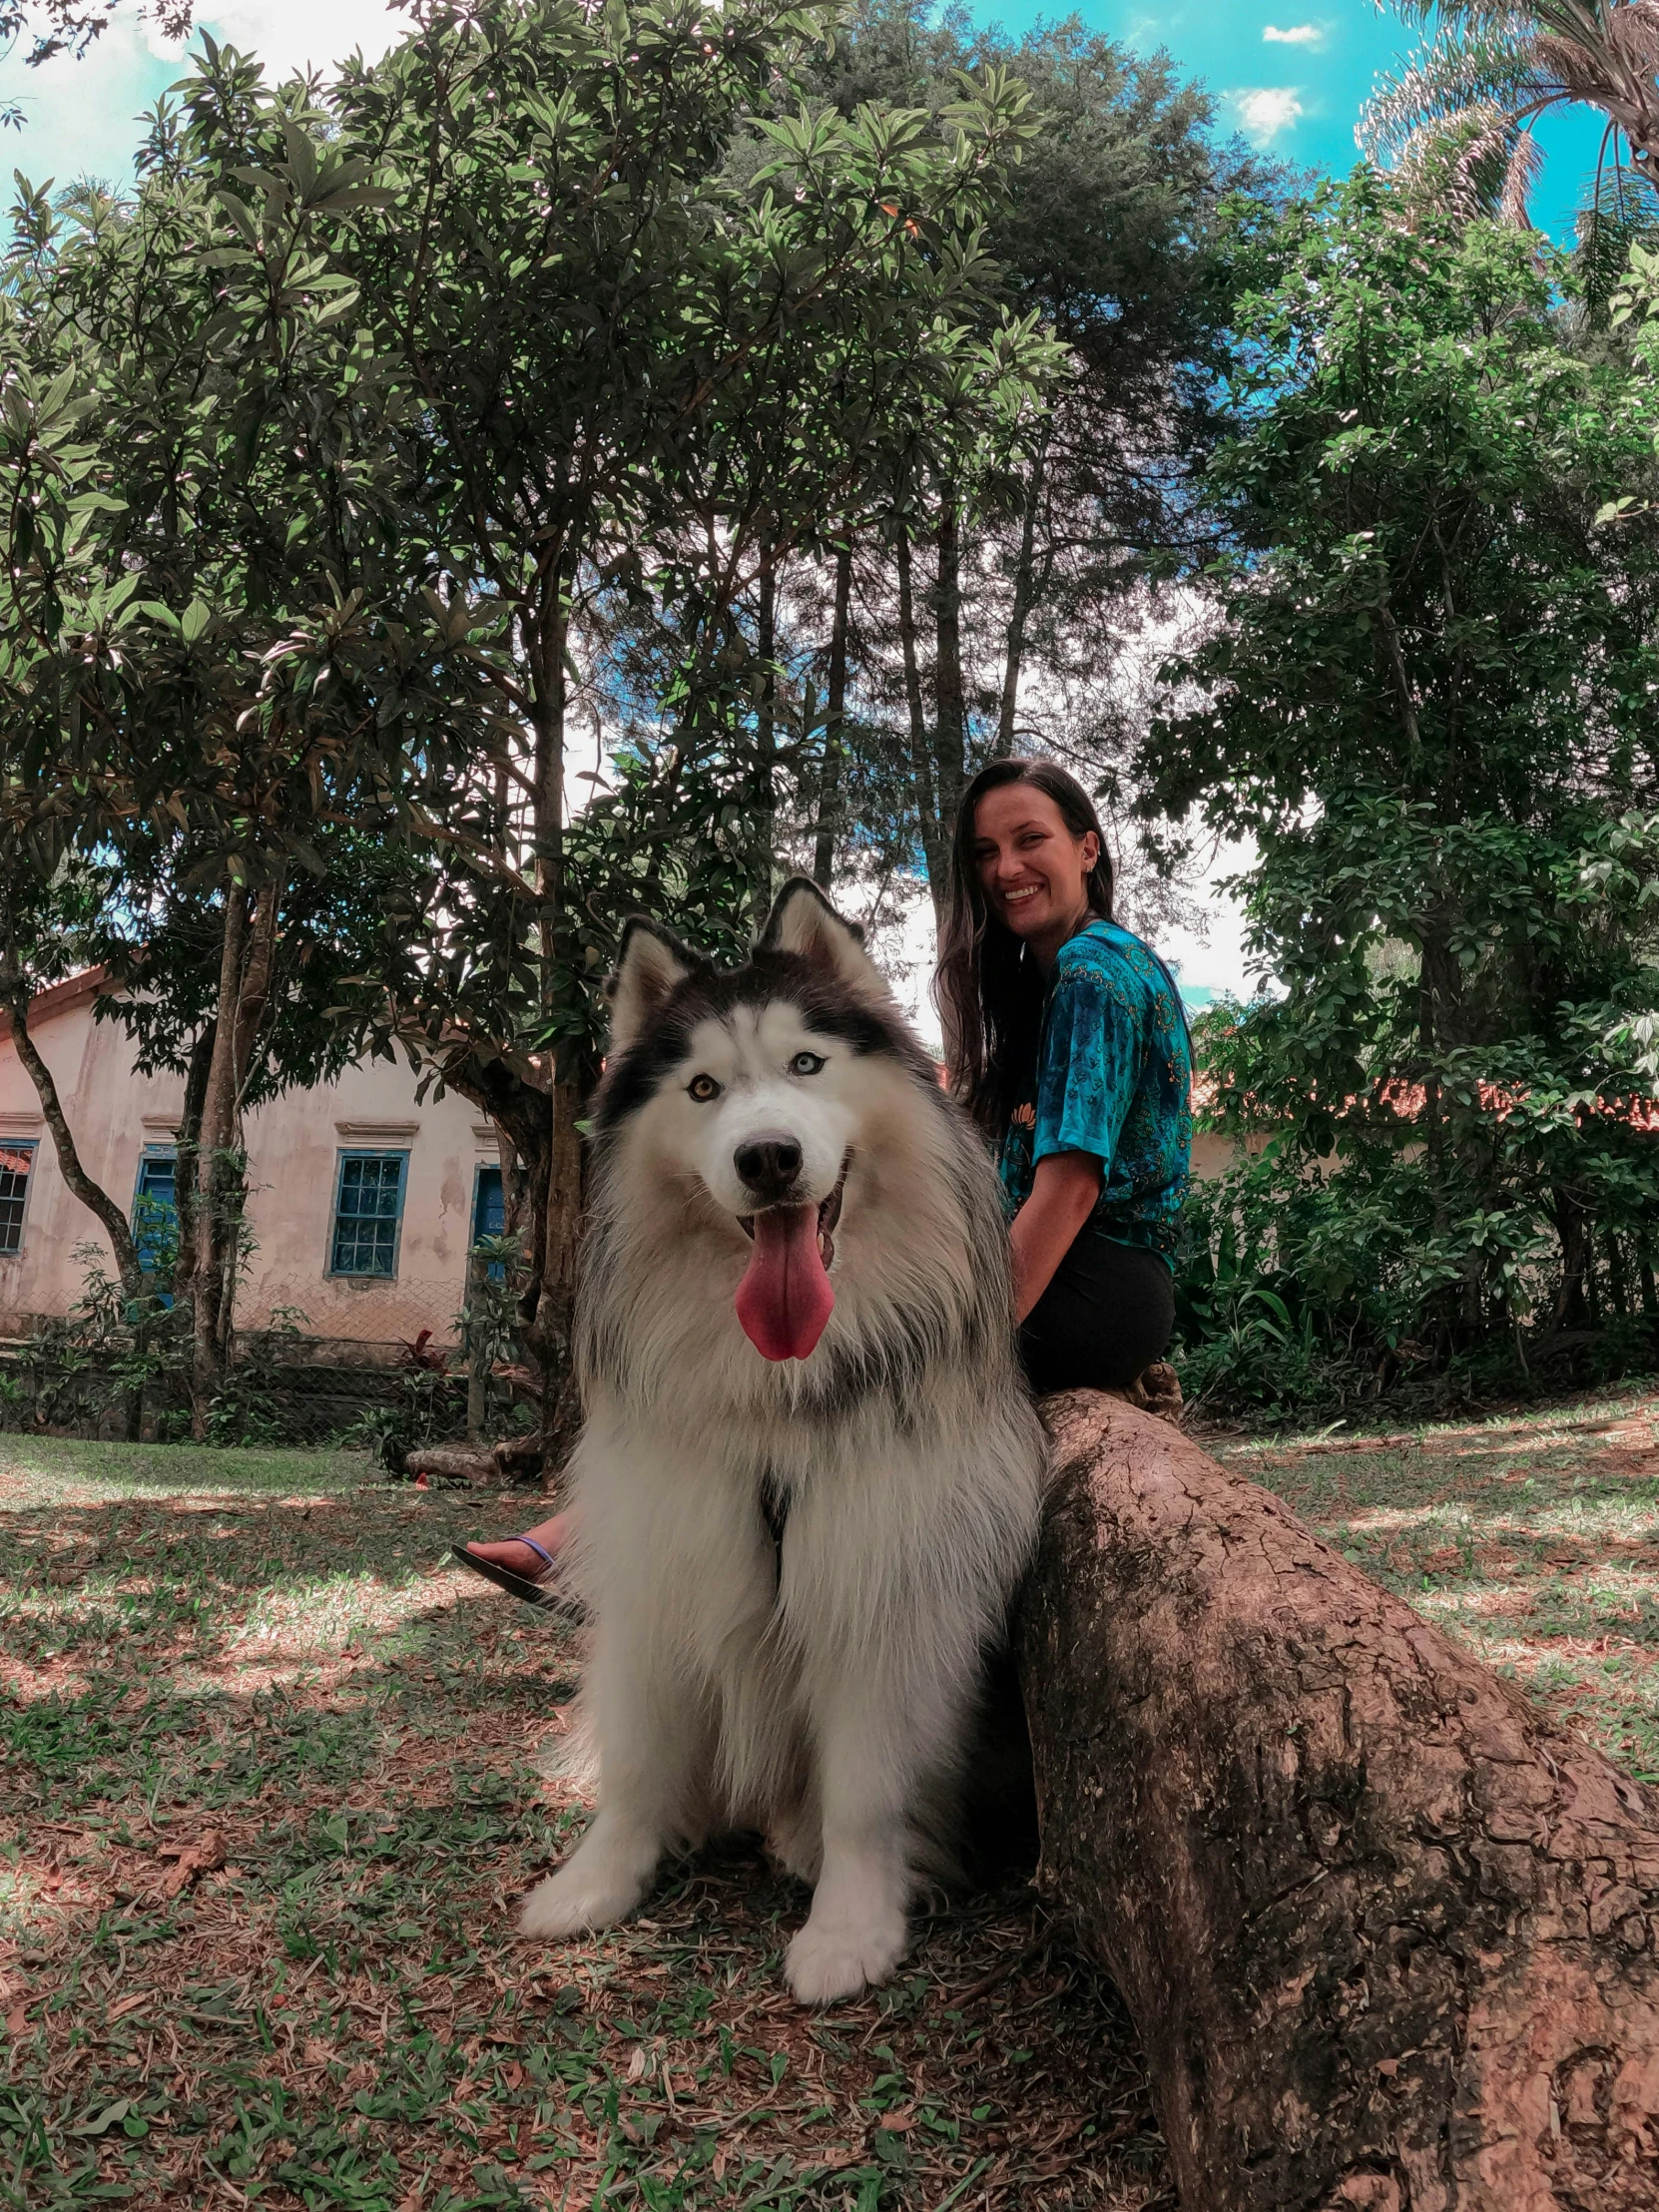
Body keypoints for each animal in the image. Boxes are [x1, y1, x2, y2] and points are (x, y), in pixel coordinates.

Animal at [519, 875, 1043, 2008]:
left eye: (807, 1064)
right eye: (703, 1087)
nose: (768, 1158)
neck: (776, 1399)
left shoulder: (881, 1587)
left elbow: (864, 1794)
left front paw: (850, 1927)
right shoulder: (664, 1561)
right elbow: (638, 1758)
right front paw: (595, 1882)